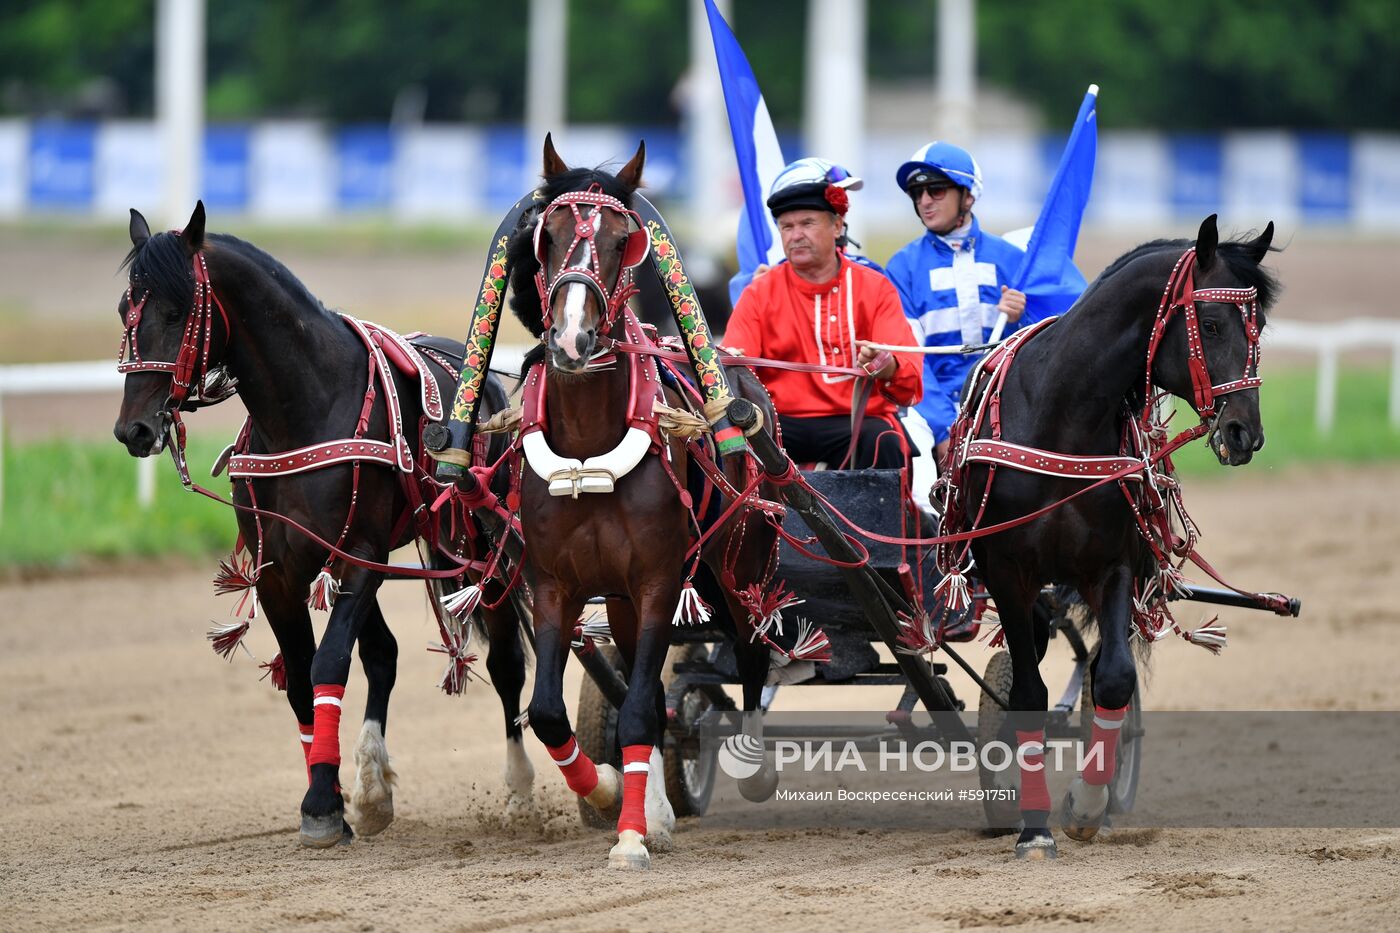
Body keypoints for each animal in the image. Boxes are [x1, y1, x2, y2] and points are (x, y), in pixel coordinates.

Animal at [109, 203, 532, 840]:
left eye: (177, 310)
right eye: (123, 309)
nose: (133, 428)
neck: (306, 407)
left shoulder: (362, 556)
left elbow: (329, 662)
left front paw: (322, 803)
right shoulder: (282, 570)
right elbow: (304, 680)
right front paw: (327, 793)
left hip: (486, 545)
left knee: (506, 661)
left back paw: (520, 786)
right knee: (383, 654)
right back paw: (373, 784)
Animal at [506, 134, 789, 868]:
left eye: (620, 240)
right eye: (546, 236)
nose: (572, 339)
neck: (589, 444)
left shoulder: (661, 579)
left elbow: (637, 706)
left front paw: (631, 836)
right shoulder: (556, 583)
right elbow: (551, 711)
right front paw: (613, 795)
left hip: (738, 564)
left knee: (752, 651)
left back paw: (753, 762)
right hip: (625, 599)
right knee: (655, 687)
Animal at [940, 214, 1282, 851]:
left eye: (1261, 326)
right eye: (1212, 323)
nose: (1245, 432)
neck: (1061, 420)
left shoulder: (1112, 565)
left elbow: (1115, 679)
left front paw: (1085, 802)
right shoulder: (1008, 572)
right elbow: (1028, 694)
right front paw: (1034, 827)